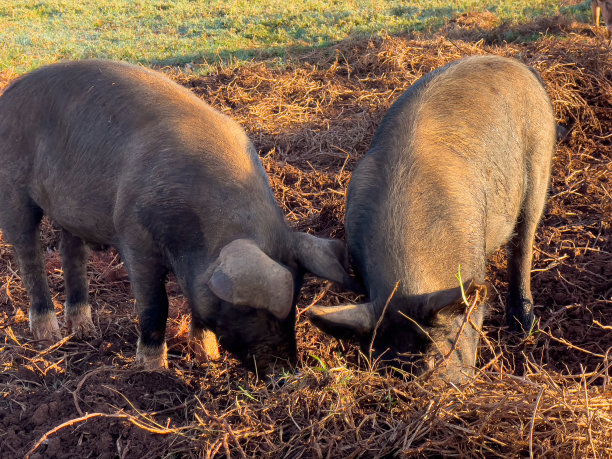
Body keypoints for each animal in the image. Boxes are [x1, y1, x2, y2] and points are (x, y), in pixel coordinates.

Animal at [0, 59, 354, 376]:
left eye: (297, 299)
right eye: (247, 307)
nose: (287, 373)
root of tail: (10, 91)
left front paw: (208, 360)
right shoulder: (134, 236)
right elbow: (156, 304)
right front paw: (154, 370)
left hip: (69, 210)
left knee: (71, 251)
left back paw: (84, 330)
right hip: (14, 190)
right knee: (29, 254)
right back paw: (48, 334)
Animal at [308, 55, 556, 382]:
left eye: (445, 344)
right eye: (386, 362)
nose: (431, 380)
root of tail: (518, 65)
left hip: (539, 156)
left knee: (524, 242)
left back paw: (525, 325)